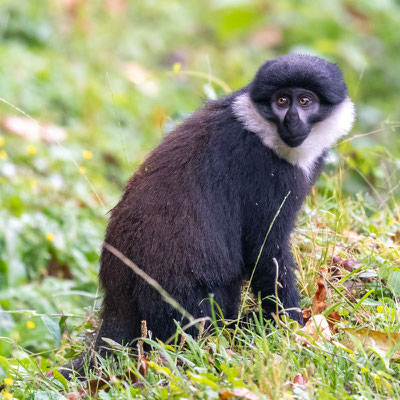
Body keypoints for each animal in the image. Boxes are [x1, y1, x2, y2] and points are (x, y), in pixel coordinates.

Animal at [95, 55, 354, 350]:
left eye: (304, 101)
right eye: (281, 101)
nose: (291, 121)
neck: (259, 128)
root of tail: (118, 307)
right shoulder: (266, 173)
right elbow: (265, 249)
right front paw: (290, 324)